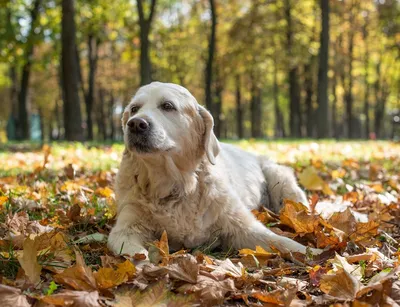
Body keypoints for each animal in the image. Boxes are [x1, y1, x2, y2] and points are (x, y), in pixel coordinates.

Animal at [107, 81, 322, 258]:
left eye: (167, 106)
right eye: (134, 109)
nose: (135, 123)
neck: (174, 184)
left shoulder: (240, 224)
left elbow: (282, 242)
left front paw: (316, 253)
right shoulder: (127, 225)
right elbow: (134, 251)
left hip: (281, 180)